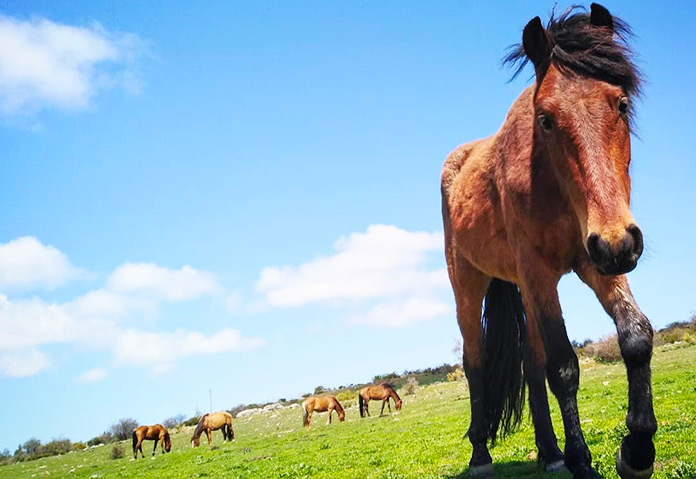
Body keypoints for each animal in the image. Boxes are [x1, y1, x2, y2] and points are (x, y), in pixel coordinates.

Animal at [444, 3, 656, 479]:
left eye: (622, 103)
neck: (552, 187)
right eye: (546, 119)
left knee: (530, 362)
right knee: (475, 363)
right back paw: (481, 456)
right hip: (469, 285)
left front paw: (636, 451)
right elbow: (563, 368)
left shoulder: (598, 261)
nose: (619, 242)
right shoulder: (542, 271)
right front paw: (582, 461)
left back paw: (549, 450)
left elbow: (636, 336)